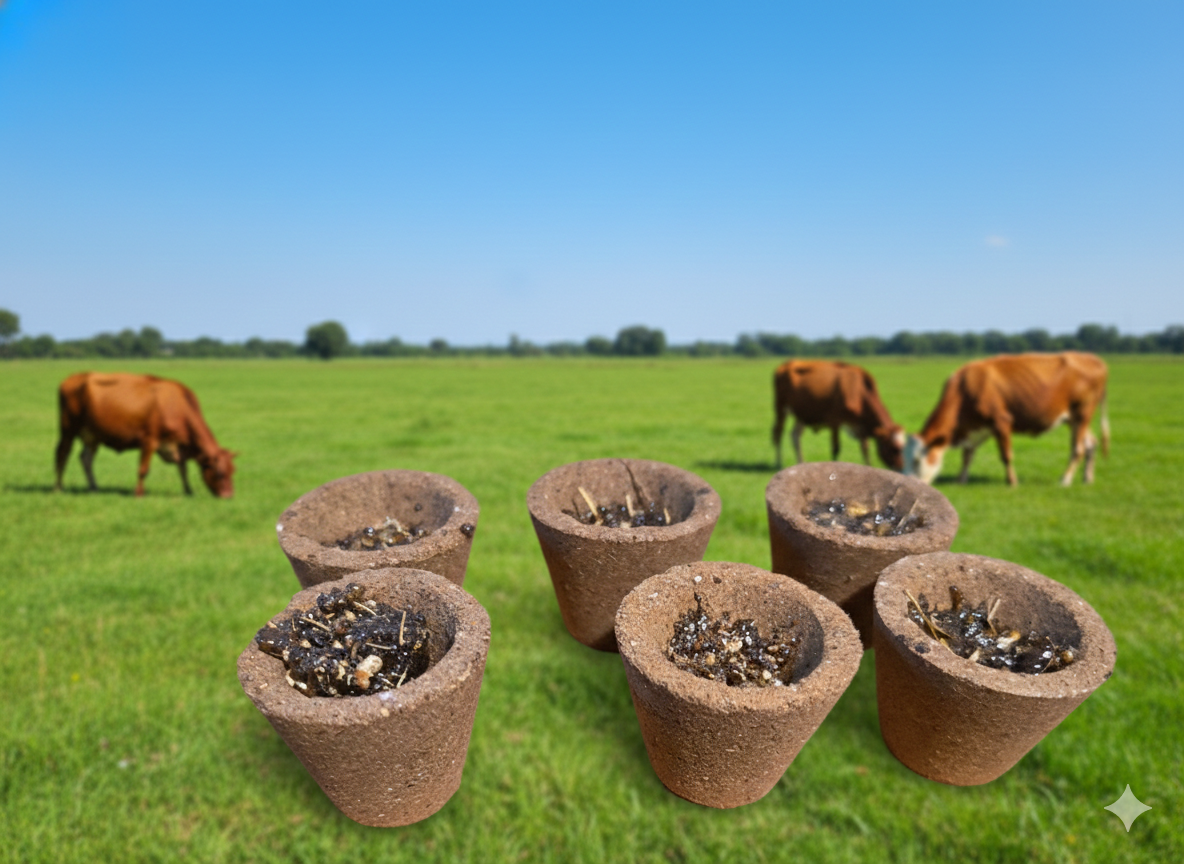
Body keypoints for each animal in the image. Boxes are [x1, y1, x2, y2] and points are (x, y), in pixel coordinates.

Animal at [54, 372, 236, 498]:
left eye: (232, 471)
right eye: (219, 473)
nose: (228, 496)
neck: (175, 405)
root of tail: (73, 377)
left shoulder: (178, 446)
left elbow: (182, 469)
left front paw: (188, 491)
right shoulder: (150, 440)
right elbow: (143, 469)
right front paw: (139, 493)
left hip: (92, 436)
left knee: (86, 459)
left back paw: (94, 487)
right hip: (68, 430)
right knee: (62, 455)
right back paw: (58, 488)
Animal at [772, 360, 905, 470]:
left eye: (903, 447)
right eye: (894, 448)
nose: (901, 467)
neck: (857, 392)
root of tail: (787, 363)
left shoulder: (860, 425)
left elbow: (865, 448)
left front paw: (869, 467)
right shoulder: (835, 421)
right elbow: (836, 448)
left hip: (802, 414)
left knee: (795, 435)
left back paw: (801, 462)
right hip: (780, 407)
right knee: (778, 433)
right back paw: (778, 463)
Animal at [904, 351, 1109, 487]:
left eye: (916, 460)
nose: (908, 482)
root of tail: (1094, 359)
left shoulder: (1001, 422)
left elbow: (1006, 455)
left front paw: (1012, 481)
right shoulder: (974, 430)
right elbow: (967, 456)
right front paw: (960, 480)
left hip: (1082, 413)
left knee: (1078, 449)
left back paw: (1066, 479)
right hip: (1072, 419)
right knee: (1091, 444)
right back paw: (1087, 478)